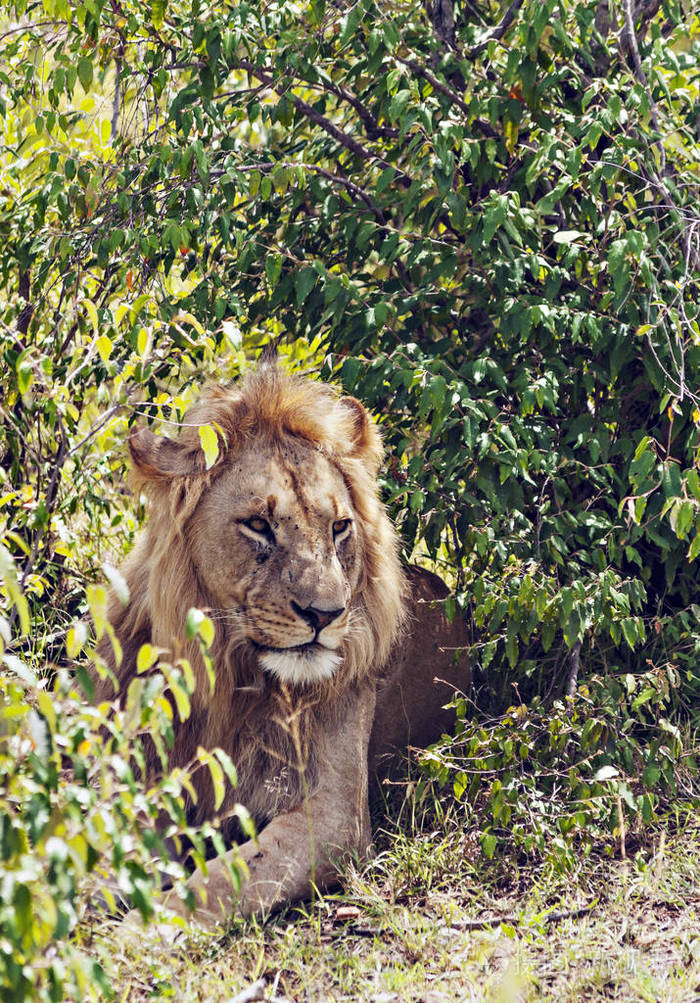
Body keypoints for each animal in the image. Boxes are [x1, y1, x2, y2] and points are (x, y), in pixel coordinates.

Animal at [94, 361, 469, 930]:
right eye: (258, 525)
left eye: (340, 527)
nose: (326, 614)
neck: (230, 680)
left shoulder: (334, 820)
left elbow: (219, 881)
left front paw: (140, 930)